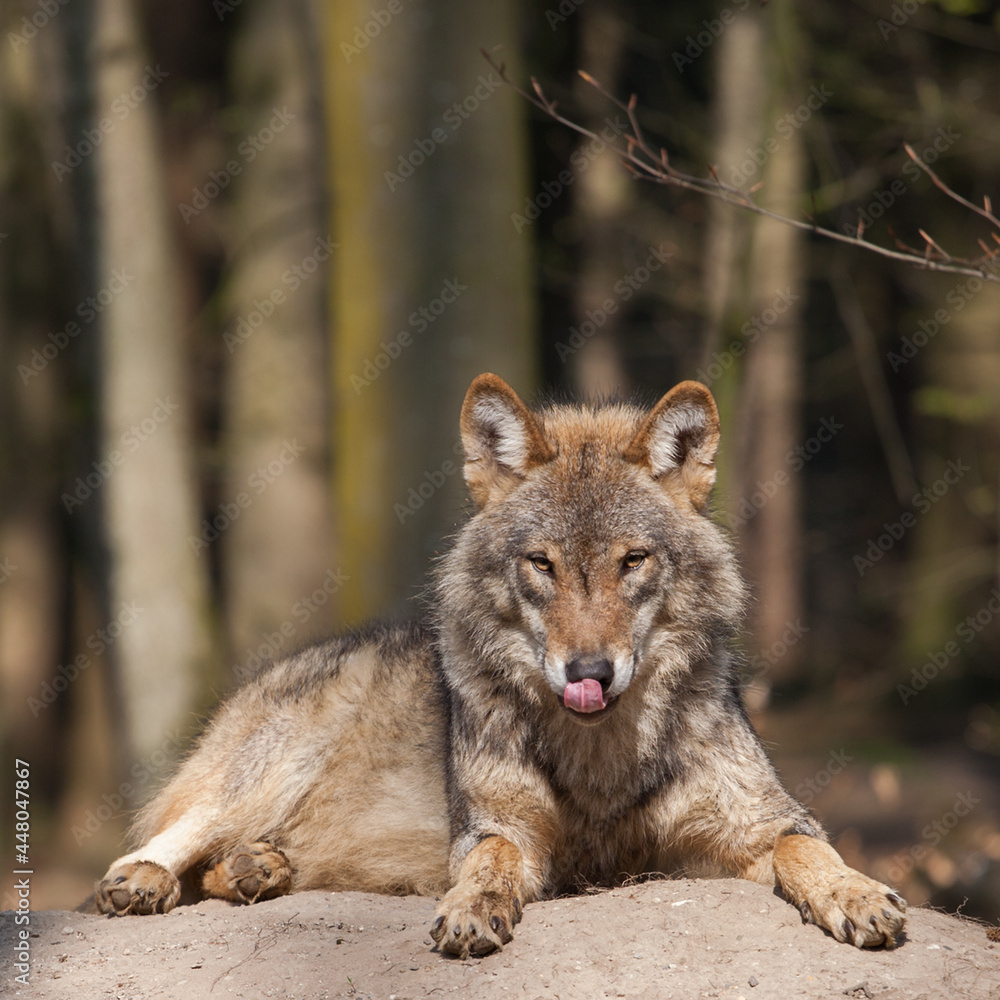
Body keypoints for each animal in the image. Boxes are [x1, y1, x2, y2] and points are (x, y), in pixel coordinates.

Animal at [95, 373, 906, 957]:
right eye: (542, 564)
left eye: (633, 561)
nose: (589, 670)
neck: (601, 760)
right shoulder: (502, 829)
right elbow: (489, 863)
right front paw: (470, 910)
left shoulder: (753, 831)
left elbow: (811, 848)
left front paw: (859, 894)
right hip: (271, 768)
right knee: (178, 833)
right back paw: (143, 879)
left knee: (223, 861)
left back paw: (257, 870)